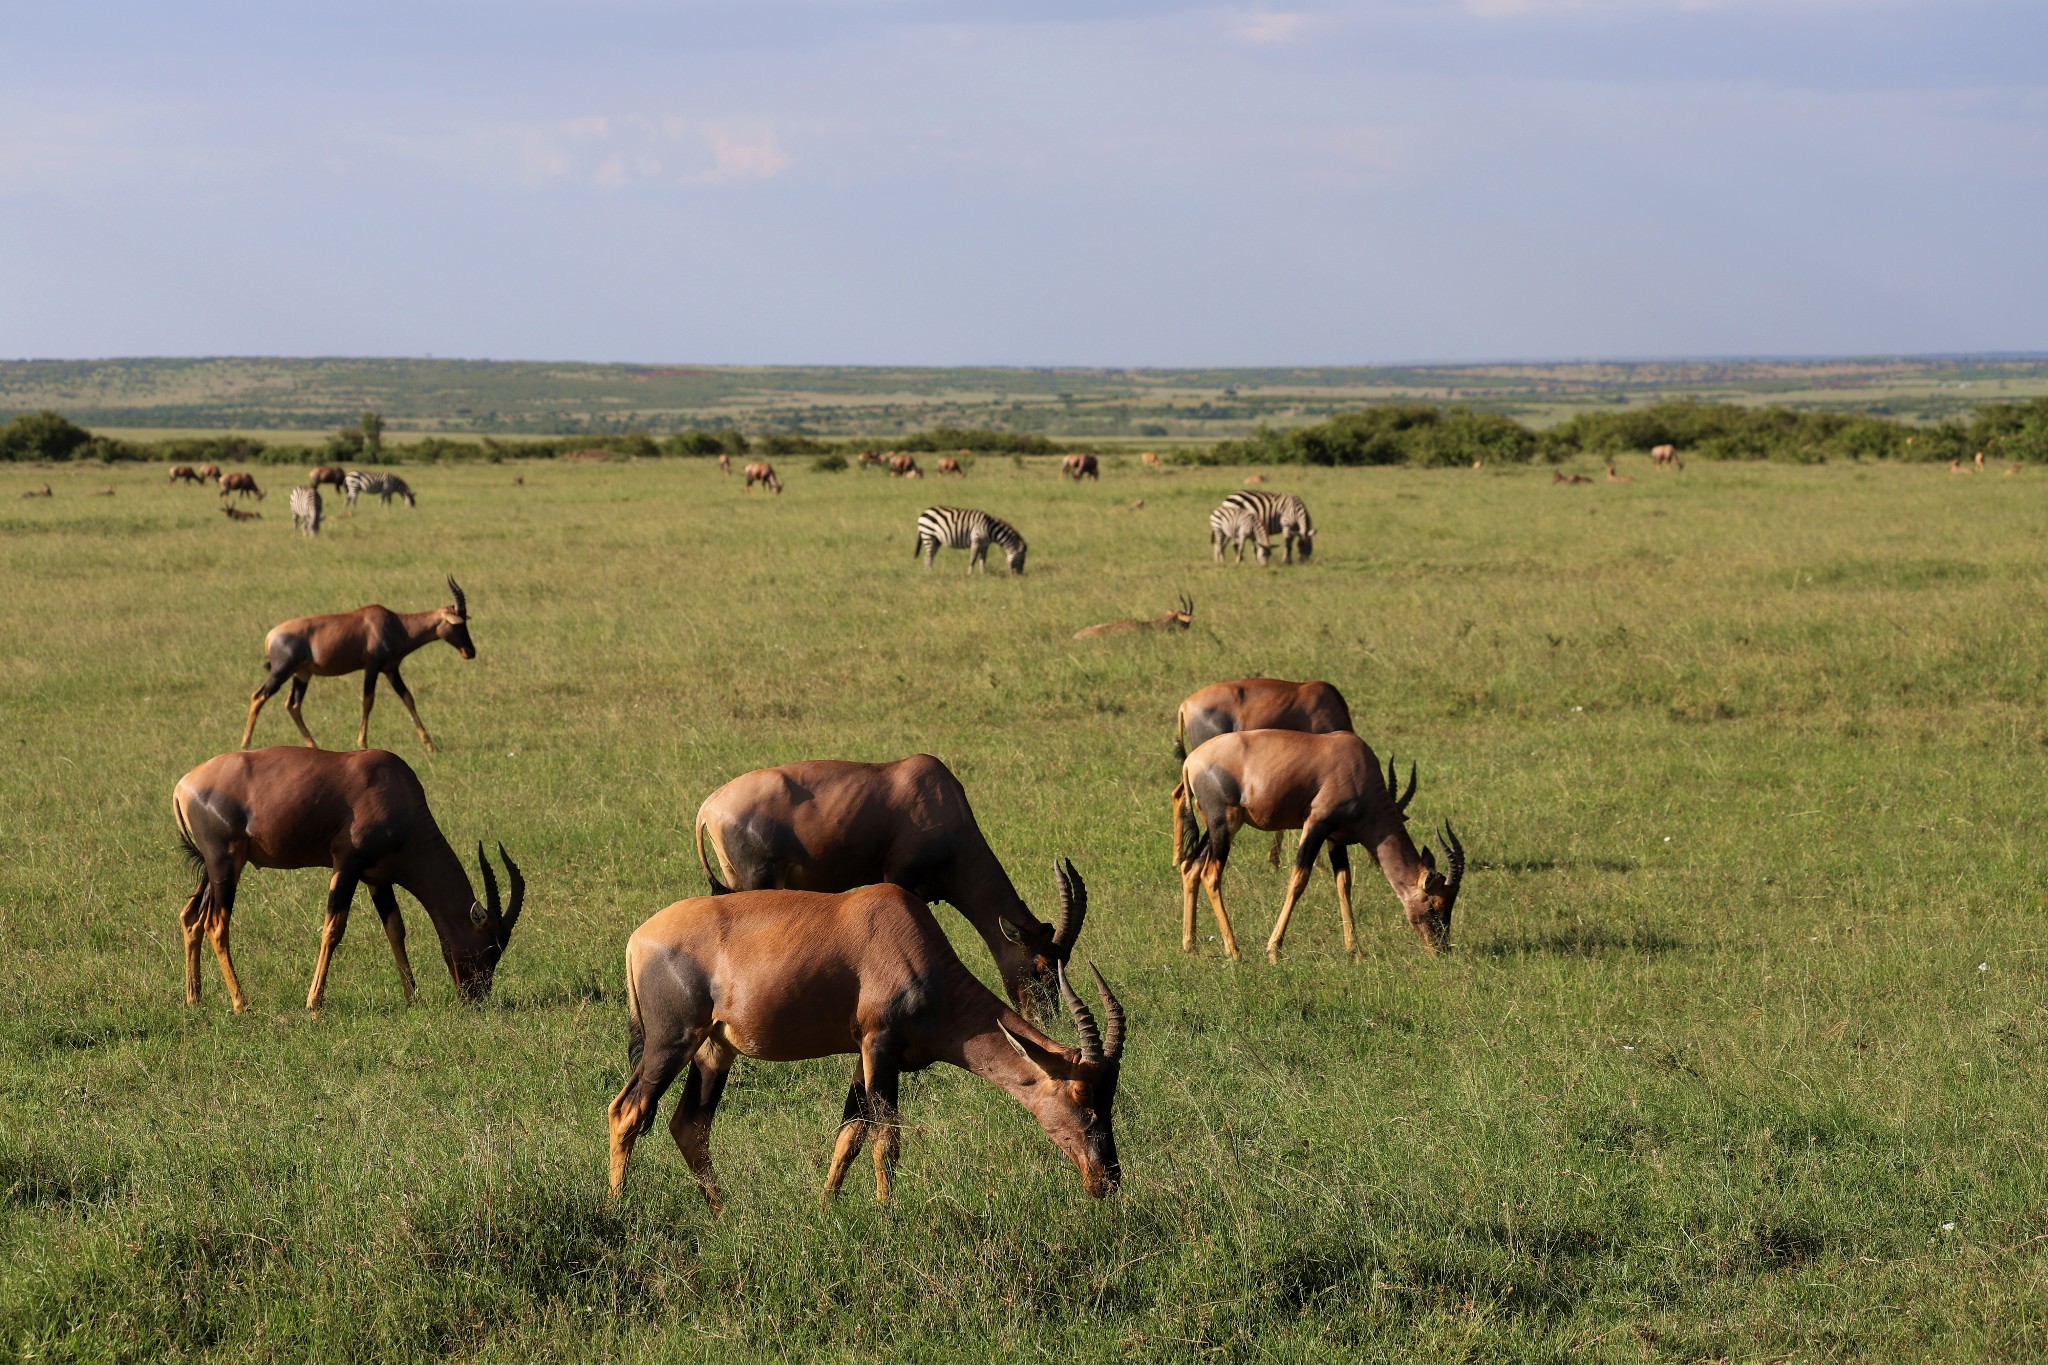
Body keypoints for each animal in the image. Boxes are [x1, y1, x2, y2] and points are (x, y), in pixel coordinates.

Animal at [173, 740, 524, 1010]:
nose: (475, 999)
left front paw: (413, 998)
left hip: (215, 869)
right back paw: (241, 1004)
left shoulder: (377, 878)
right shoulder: (346, 865)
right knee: (216, 924)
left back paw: (194, 999)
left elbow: (395, 929)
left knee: (191, 916)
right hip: (225, 863)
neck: (391, 787)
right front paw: (313, 1003)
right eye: (491, 947)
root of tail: (184, 785)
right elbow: (333, 930)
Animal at [239, 573, 475, 753]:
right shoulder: (372, 667)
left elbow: (408, 698)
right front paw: (362, 743)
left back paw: (313, 745)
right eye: (458, 624)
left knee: (293, 705)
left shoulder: (391, 669)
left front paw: (430, 745)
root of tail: (270, 636)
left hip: (302, 674)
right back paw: (245, 744)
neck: (394, 622)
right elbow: (367, 701)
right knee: (258, 696)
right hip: (280, 672)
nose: (470, 652)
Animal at [606, 871, 1130, 1211]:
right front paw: (885, 1215)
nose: (1107, 1182)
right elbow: (886, 1138)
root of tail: (637, 940)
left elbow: (850, 1135)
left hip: (715, 1049)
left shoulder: (869, 1055)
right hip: (671, 1042)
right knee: (627, 1110)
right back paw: (616, 1209)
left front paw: (825, 1209)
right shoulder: (880, 1044)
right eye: (1081, 1100)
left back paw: (725, 1213)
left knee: (690, 1125)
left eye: (1109, 1100)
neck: (907, 939)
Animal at [1171, 732, 1458, 965]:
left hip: (1216, 828)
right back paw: (1235, 951)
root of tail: (1191, 761)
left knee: (1191, 867)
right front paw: (1273, 951)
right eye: (1434, 904)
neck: (1356, 765)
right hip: (1224, 823)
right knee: (1210, 875)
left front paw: (1356, 951)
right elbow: (1298, 880)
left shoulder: (1335, 838)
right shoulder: (1315, 825)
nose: (1441, 950)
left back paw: (1191, 947)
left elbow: (1344, 883)